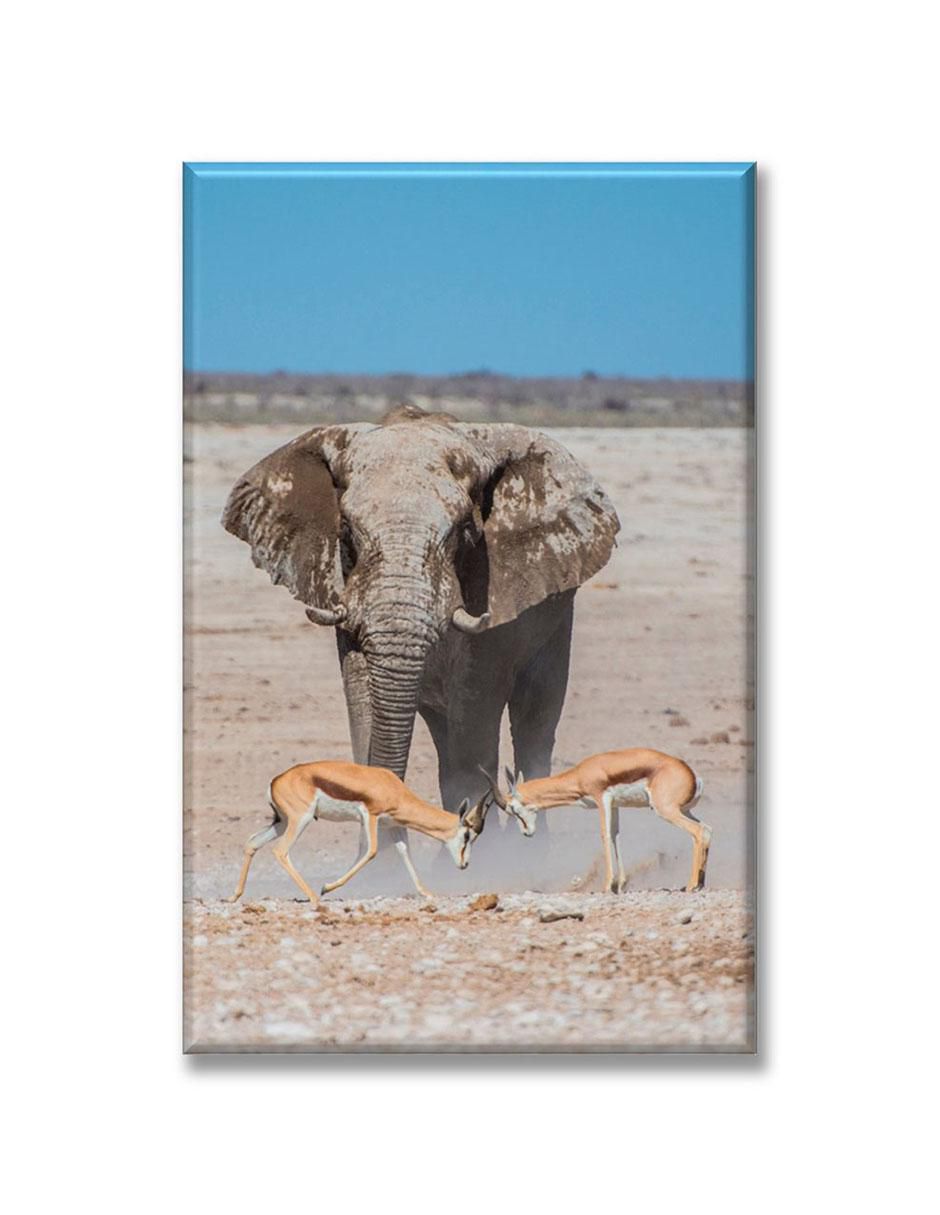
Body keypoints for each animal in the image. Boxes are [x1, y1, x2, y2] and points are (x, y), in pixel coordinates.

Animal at [222, 404, 620, 842]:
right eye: (345, 531)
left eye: (465, 531)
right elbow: (362, 704)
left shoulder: (490, 591)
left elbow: (474, 716)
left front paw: (491, 855)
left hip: (556, 622)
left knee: (532, 722)